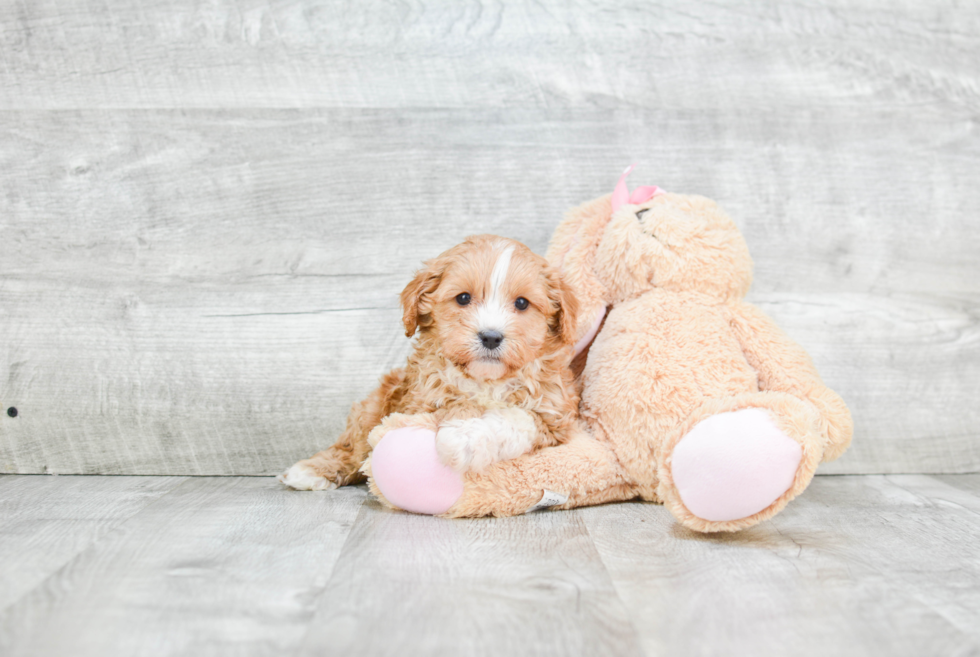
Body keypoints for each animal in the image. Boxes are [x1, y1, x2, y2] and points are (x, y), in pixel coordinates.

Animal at [276, 233, 580, 490]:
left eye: (522, 303)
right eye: (463, 298)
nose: (491, 337)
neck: (486, 380)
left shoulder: (555, 418)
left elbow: (517, 417)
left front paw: (464, 437)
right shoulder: (417, 402)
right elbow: (451, 407)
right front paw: (463, 420)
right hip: (374, 405)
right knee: (354, 444)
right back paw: (313, 470)